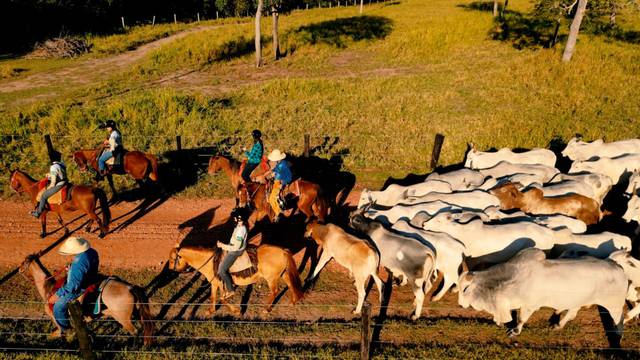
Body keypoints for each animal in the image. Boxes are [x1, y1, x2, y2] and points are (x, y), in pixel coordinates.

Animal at [19, 252, 154, 344]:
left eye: (23, 262)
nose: (19, 269)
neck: (48, 288)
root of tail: (130, 287)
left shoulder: (54, 316)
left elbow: (60, 330)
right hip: (135, 313)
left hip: (123, 318)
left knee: (135, 332)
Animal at [168, 242, 302, 316]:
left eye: (171, 259)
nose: (170, 270)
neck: (211, 261)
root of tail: (283, 251)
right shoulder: (214, 283)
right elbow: (213, 297)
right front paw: (210, 311)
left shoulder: (221, 283)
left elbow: (222, 299)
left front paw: (237, 311)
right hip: (283, 274)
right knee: (290, 285)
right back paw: (292, 302)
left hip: (271, 278)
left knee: (275, 291)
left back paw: (266, 309)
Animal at [458, 249, 628, 336]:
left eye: (465, 288)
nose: (460, 305)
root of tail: (615, 264)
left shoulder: (529, 305)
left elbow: (521, 319)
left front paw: (515, 331)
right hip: (578, 301)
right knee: (571, 313)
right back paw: (558, 326)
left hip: (614, 306)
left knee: (619, 321)